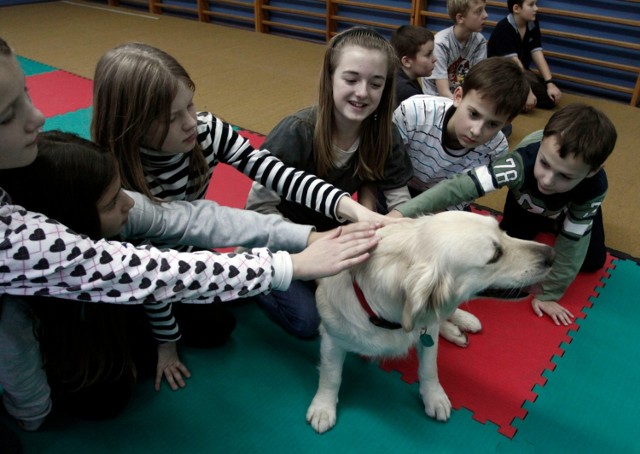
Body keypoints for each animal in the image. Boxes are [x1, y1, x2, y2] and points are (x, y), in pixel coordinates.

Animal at [308, 211, 552, 434]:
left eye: (503, 231)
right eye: (495, 256)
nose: (551, 254)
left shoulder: (428, 334)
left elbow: (429, 368)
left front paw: (435, 397)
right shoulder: (331, 339)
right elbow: (331, 376)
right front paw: (323, 407)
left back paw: (462, 322)